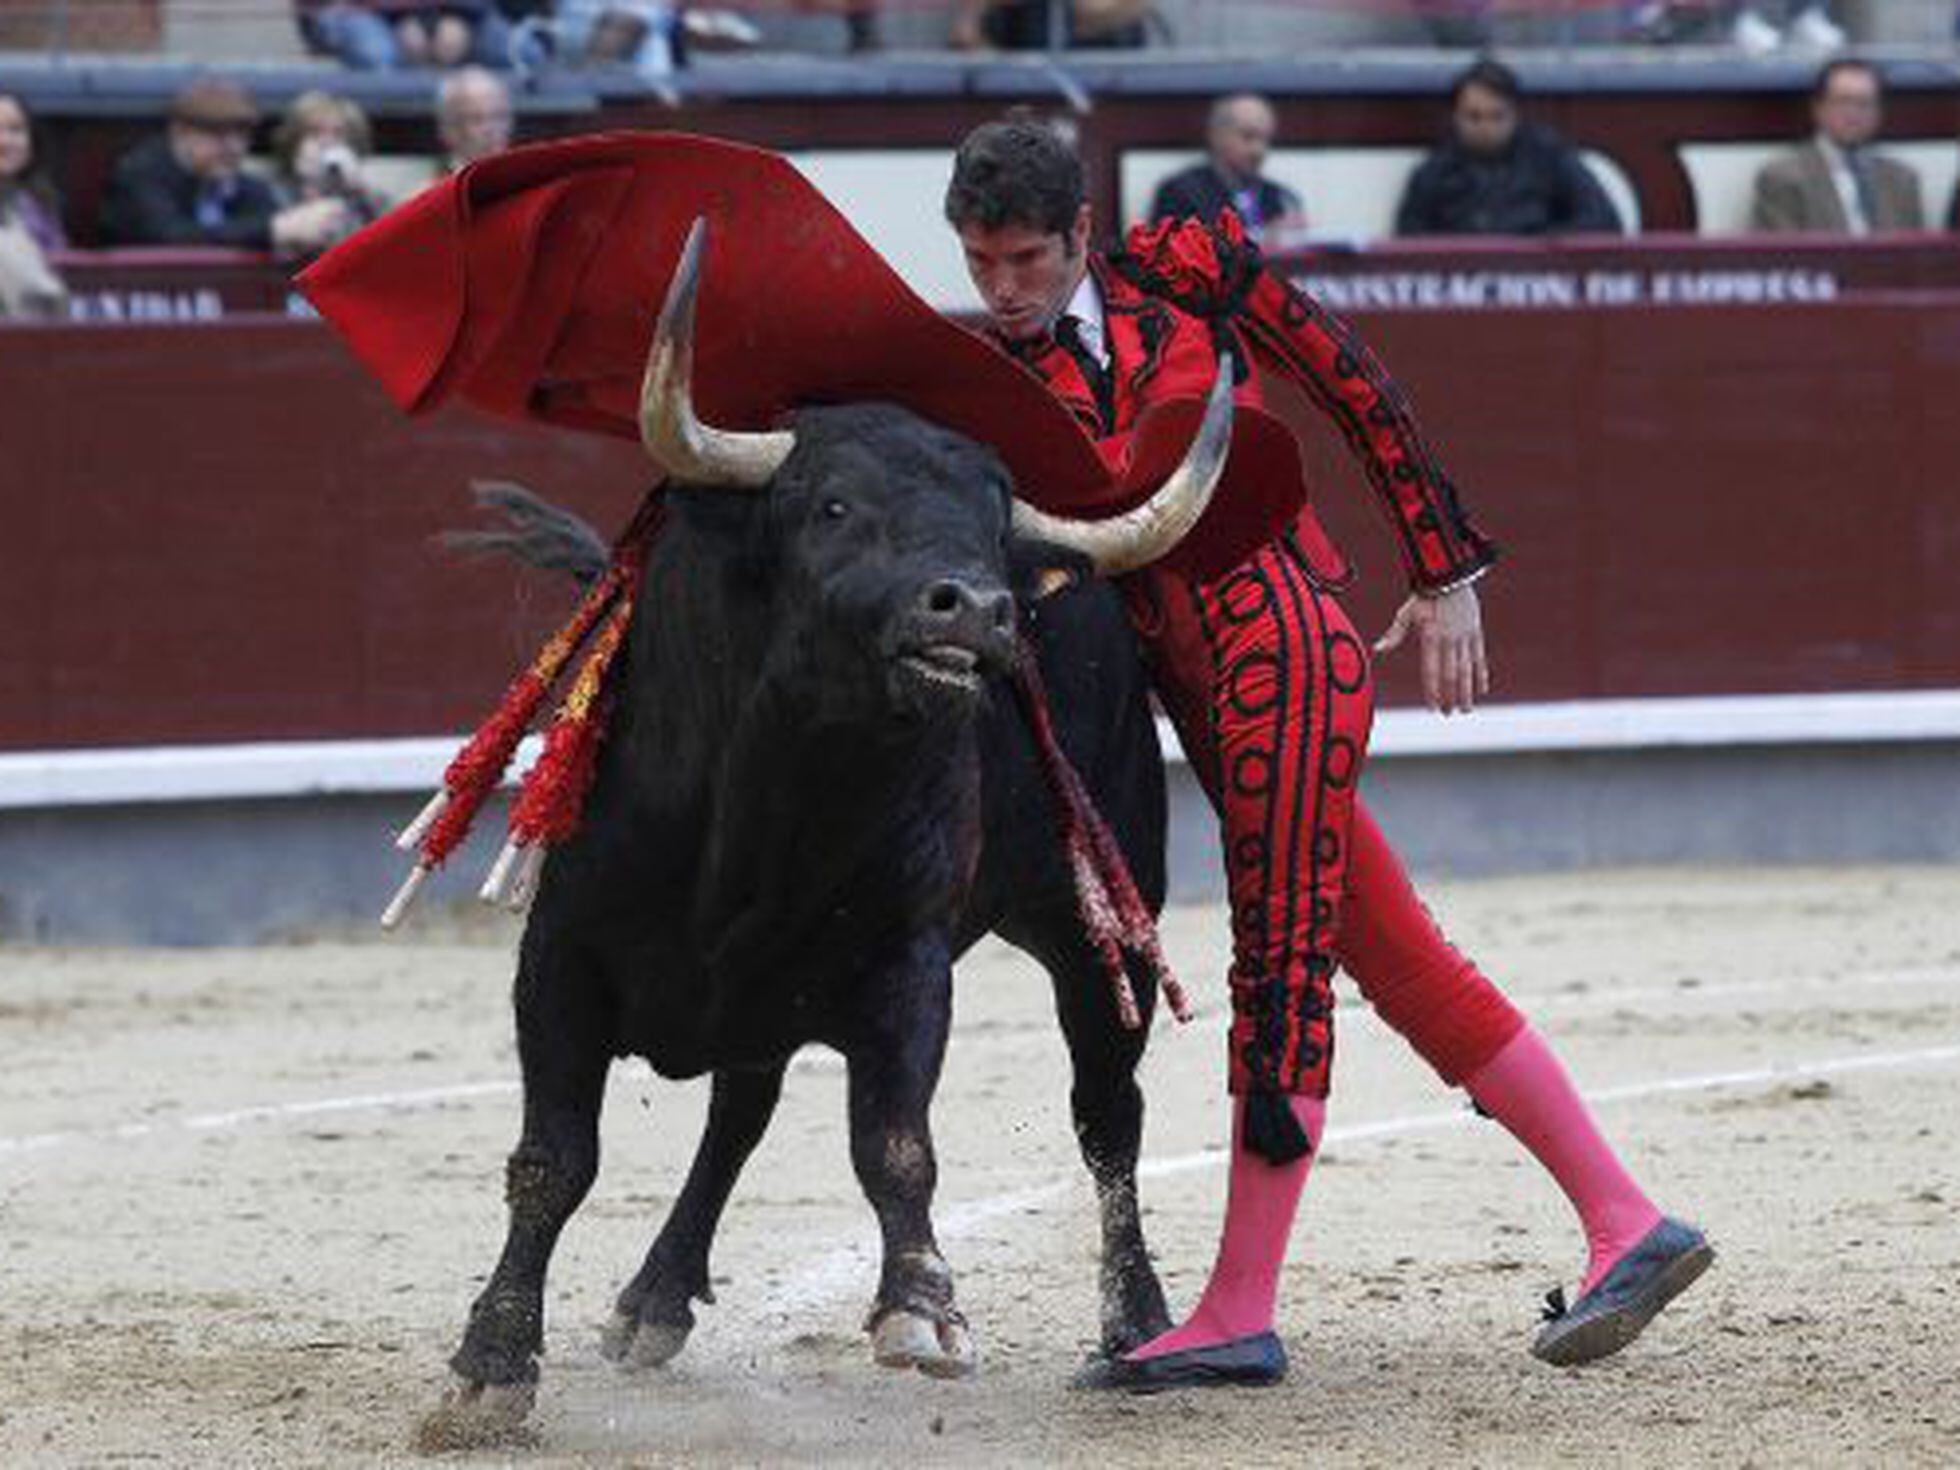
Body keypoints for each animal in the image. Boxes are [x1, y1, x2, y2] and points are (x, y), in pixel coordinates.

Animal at [429, 399, 1176, 1442]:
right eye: (832, 506)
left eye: (994, 529)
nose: (979, 608)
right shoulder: (559, 960)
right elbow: (553, 1160)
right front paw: (491, 1366)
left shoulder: (907, 962)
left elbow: (896, 1145)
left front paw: (923, 1309)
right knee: (739, 1114)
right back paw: (656, 1297)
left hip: (1099, 924)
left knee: (1109, 1112)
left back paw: (1138, 1326)